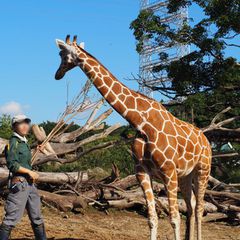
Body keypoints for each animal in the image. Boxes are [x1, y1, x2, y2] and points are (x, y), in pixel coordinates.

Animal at [54, 35, 212, 240]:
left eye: (61, 54)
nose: (57, 74)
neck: (141, 122)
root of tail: (206, 140)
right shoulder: (142, 172)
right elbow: (152, 218)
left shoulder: (168, 172)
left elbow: (174, 218)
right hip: (186, 174)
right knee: (191, 204)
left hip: (203, 169)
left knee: (199, 207)